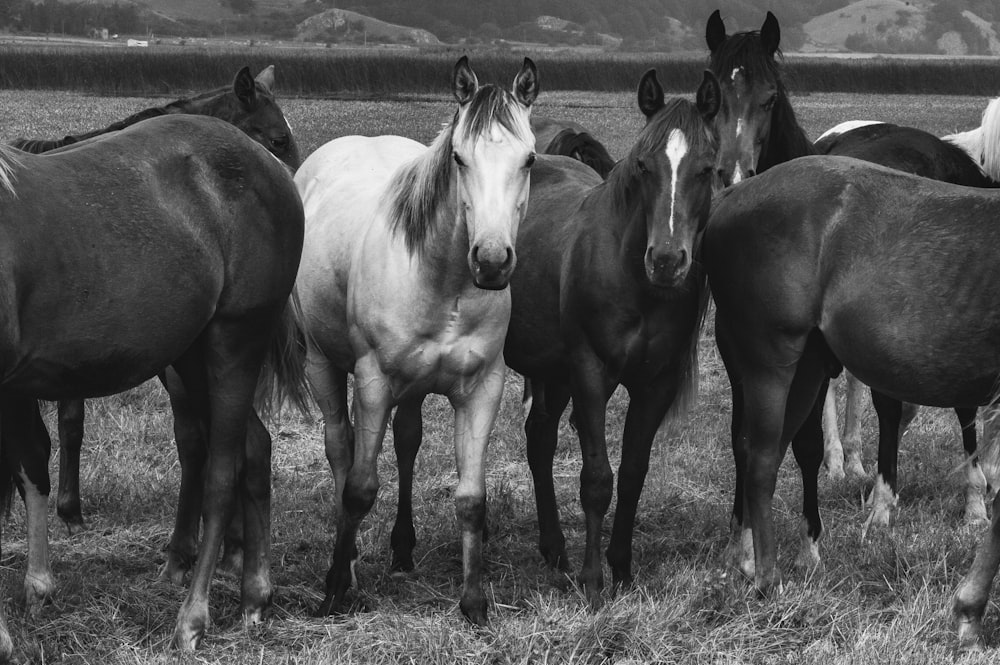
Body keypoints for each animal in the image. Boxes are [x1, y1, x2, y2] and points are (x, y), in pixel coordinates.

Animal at [0, 111, 304, 656]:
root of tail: (269, 165)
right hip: (192, 360)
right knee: (255, 450)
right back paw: (254, 598)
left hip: (234, 344)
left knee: (221, 472)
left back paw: (193, 618)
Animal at [292, 55, 540, 624]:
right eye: (459, 157)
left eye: (530, 158)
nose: (491, 260)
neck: (445, 283)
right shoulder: (374, 382)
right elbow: (359, 488)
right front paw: (334, 590)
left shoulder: (483, 389)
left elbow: (471, 498)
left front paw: (474, 602)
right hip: (322, 364)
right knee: (340, 449)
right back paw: (349, 561)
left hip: (413, 387)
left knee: (406, 443)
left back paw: (401, 549)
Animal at [700, 152, 1000, 648]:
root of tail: (729, 196)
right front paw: (969, 612)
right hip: (771, 362)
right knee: (758, 459)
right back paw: (767, 579)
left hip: (807, 368)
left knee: (770, 453)